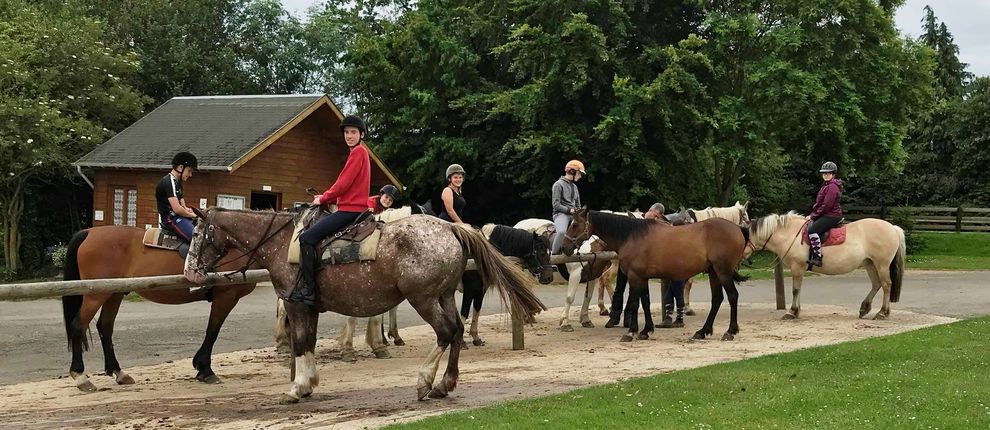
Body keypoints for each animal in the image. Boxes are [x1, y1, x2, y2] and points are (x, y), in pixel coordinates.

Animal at [59, 227, 258, 392]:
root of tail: (89, 232)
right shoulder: (226, 297)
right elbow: (212, 331)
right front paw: (205, 369)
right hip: (96, 295)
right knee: (78, 326)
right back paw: (81, 376)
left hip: (114, 293)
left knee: (105, 327)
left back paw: (119, 372)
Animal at [182, 208, 548, 404]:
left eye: (199, 234)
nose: (190, 272)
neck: (284, 242)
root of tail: (450, 229)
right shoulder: (308, 308)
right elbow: (307, 342)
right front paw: (309, 383)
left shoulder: (298, 305)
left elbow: (300, 342)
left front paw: (297, 387)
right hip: (443, 296)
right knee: (455, 332)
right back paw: (445, 384)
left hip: (424, 299)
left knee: (445, 333)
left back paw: (425, 381)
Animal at [560, 209, 748, 342]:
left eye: (575, 224)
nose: (564, 247)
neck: (632, 236)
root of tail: (738, 228)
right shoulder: (643, 278)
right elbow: (646, 302)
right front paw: (645, 331)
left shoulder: (635, 277)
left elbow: (634, 303)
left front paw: (631, 332)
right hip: (714, 273)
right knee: (717, 299)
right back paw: (702, 332)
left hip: (723, 271)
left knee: (732, 296)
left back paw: (730, 332)